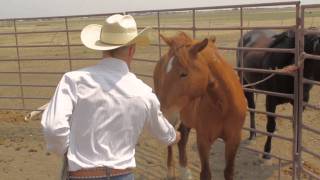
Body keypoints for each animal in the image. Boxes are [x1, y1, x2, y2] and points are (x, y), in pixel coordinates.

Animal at [154, 32, 246, 180]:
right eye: (165, 73)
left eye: (184, 73)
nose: (164, 113)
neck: (223, 107)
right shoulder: (203, 141)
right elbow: (206, 173)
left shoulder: (234, 139)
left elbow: (229, 171)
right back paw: (170, 171)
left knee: (182, 140)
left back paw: (185, 173)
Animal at [238, 28, 320, 159]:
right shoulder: (270, 100)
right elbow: (270, 126)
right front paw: (266, 151)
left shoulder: (302, 102)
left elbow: (296, 126)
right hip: (246, 85)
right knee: (252, 108)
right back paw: (253, 133)